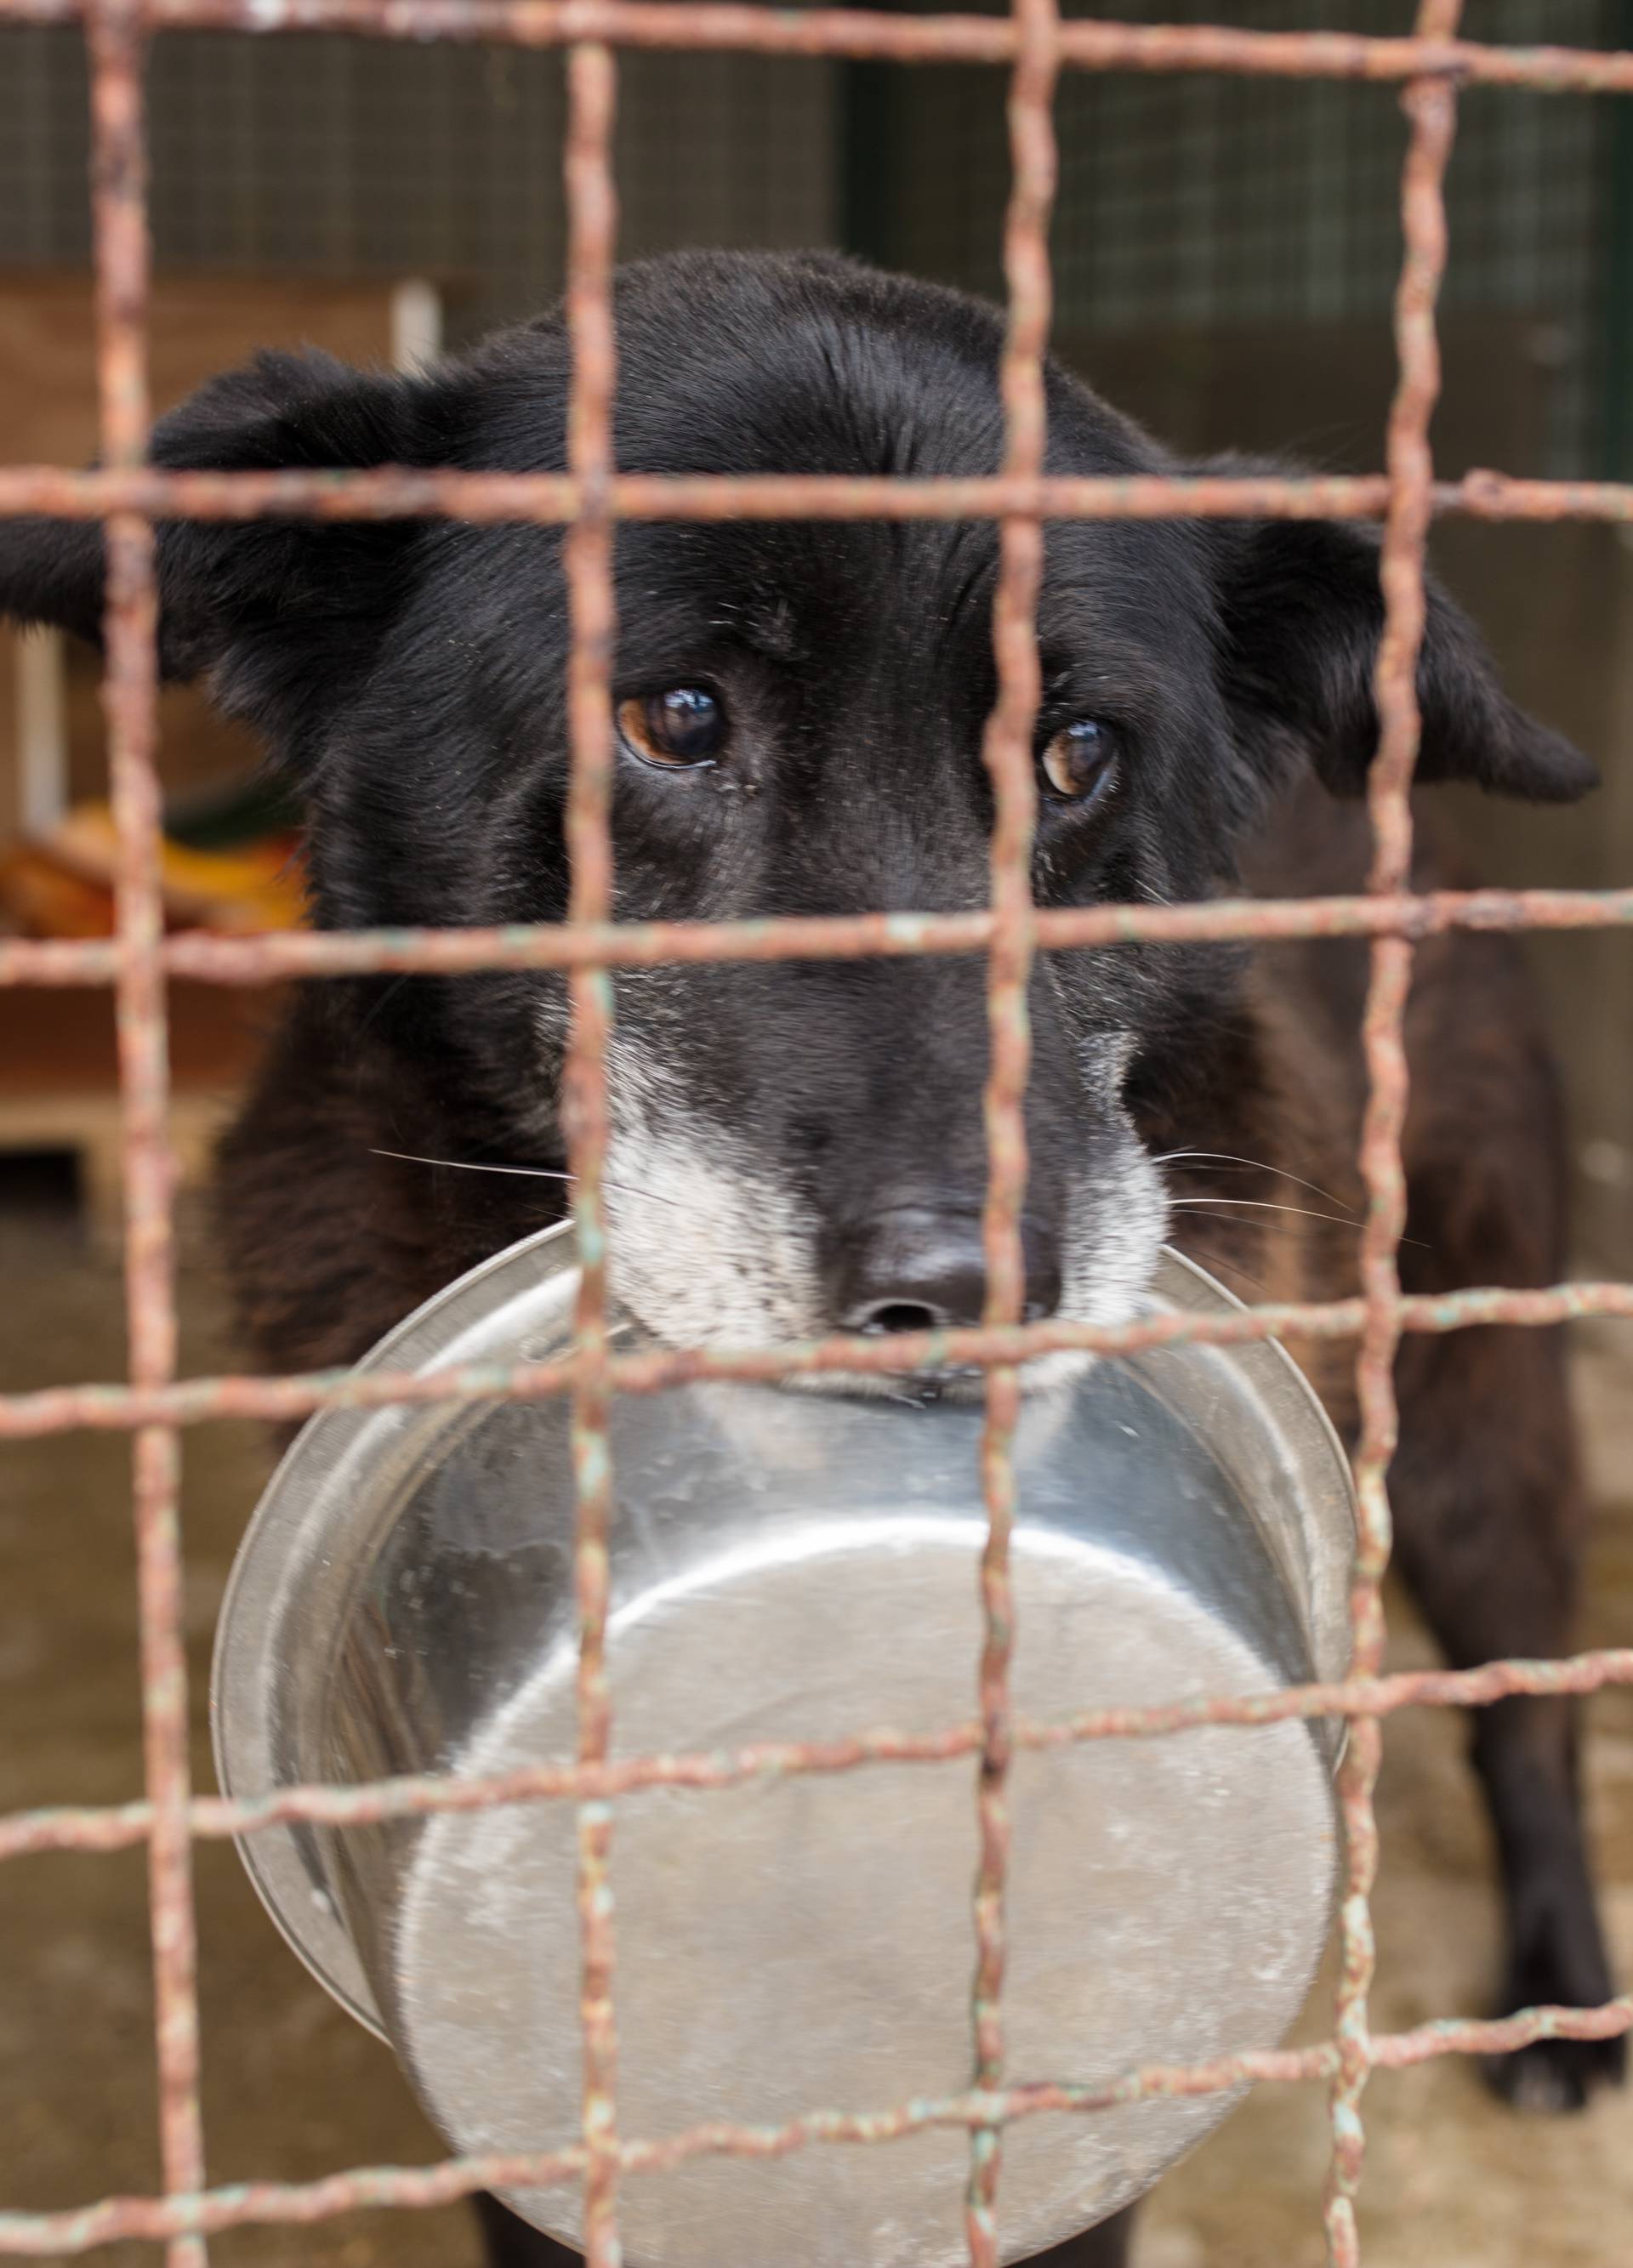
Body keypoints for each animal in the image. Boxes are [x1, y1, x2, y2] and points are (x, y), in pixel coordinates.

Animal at [3, 248, 1624, 2268]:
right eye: (674, 718)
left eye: (1076, 754)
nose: (975, 1281)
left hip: (1474, 1399)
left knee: (1524, 1701)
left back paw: (1561, 1995)